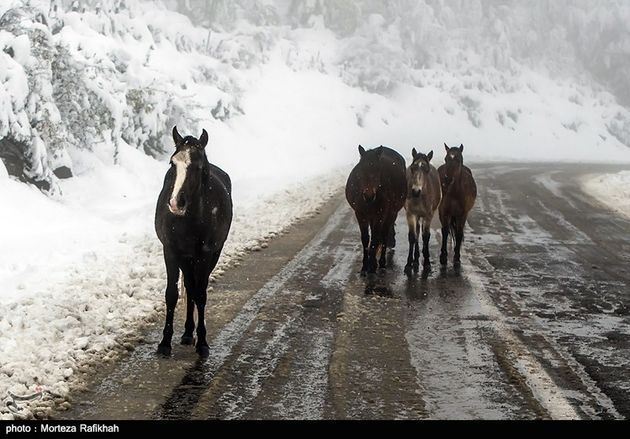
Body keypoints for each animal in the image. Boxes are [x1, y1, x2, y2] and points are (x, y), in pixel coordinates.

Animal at [154, 126, 233, 358]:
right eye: (173, 163)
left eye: (197, 166)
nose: (175, 203)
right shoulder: (170, 251)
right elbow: (172, 294)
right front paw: (164, 343)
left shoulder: (205, 255)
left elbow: (200, 294)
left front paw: (203, 342)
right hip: (186, 258)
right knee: (189, 285)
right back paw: (188, 333)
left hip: (208, 256)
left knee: (195, 289)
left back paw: (192, 334)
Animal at [348, 146, 408, 274]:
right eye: (361, 169)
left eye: (378, 170)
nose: (369, 195)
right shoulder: (360, 214)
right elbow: (366, 239)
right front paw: (365, 266)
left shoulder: (381, 214)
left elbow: (376, 238)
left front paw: (371, 265)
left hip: (391, 213)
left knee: (384, 234)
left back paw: (381, 261)